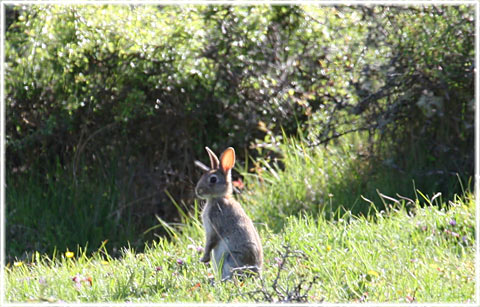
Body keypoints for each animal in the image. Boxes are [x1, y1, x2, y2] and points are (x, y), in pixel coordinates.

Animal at [194, 147, 264, 282]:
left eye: (213, 179)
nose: (198, 191)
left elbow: (210, 242)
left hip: (230, 261)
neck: (218, 198)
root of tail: (255, 274)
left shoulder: (214, 226)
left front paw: (204, 258)